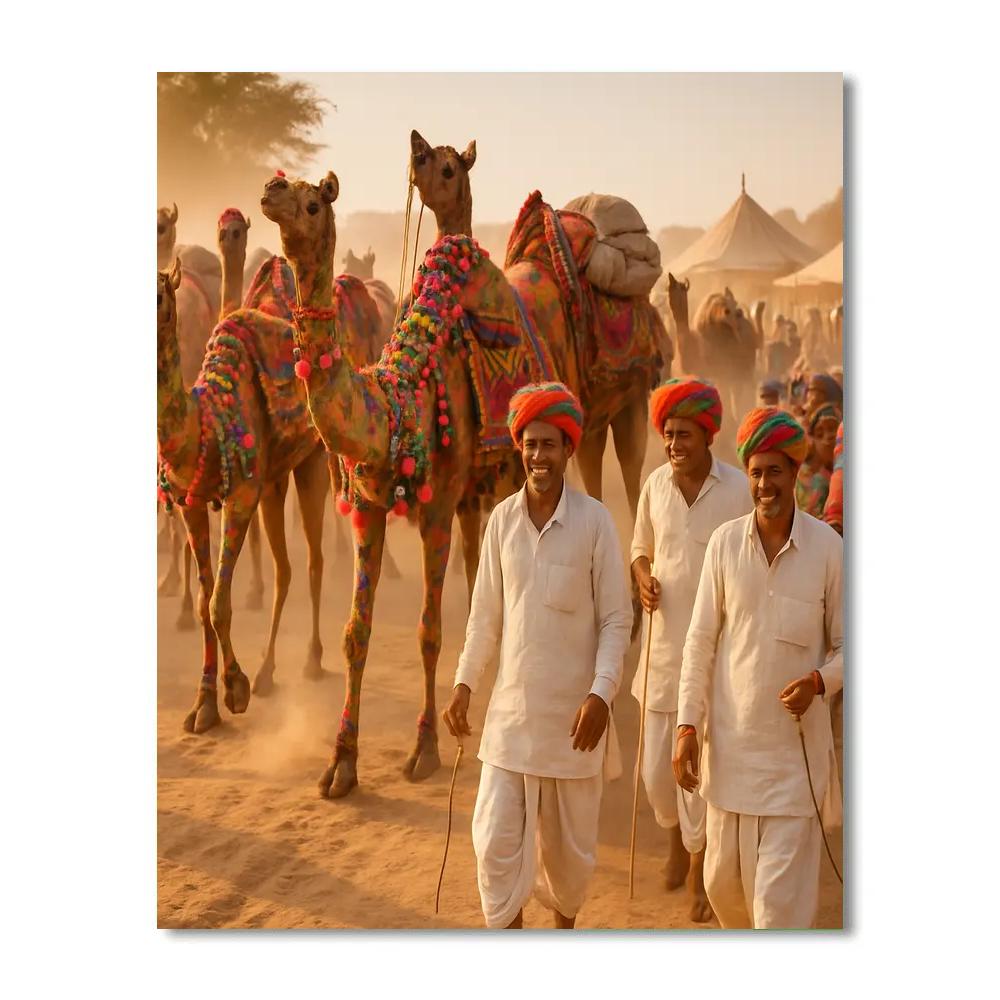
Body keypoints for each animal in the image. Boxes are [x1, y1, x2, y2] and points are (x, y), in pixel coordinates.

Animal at [157, 246, 337, 733]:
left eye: (161, 296)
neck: (204, 424)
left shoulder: (239, 498)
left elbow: (220, 602)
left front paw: (233, 690)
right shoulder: (191, 503)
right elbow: (204, 604)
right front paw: (204, 704)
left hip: (313, 459)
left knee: (314, 560)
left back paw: (312, 660)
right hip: (273, 481)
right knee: (285, 568)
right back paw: (268, 670)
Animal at [260, 169, 551, 798]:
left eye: (313, 202)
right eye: (283, 185)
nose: (269, 191)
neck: (394, 409)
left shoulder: (435, 510)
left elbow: (428, 633)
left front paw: (425, 749)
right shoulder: (370, 509)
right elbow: (355, 634)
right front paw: (341, 764)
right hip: (476, 495)